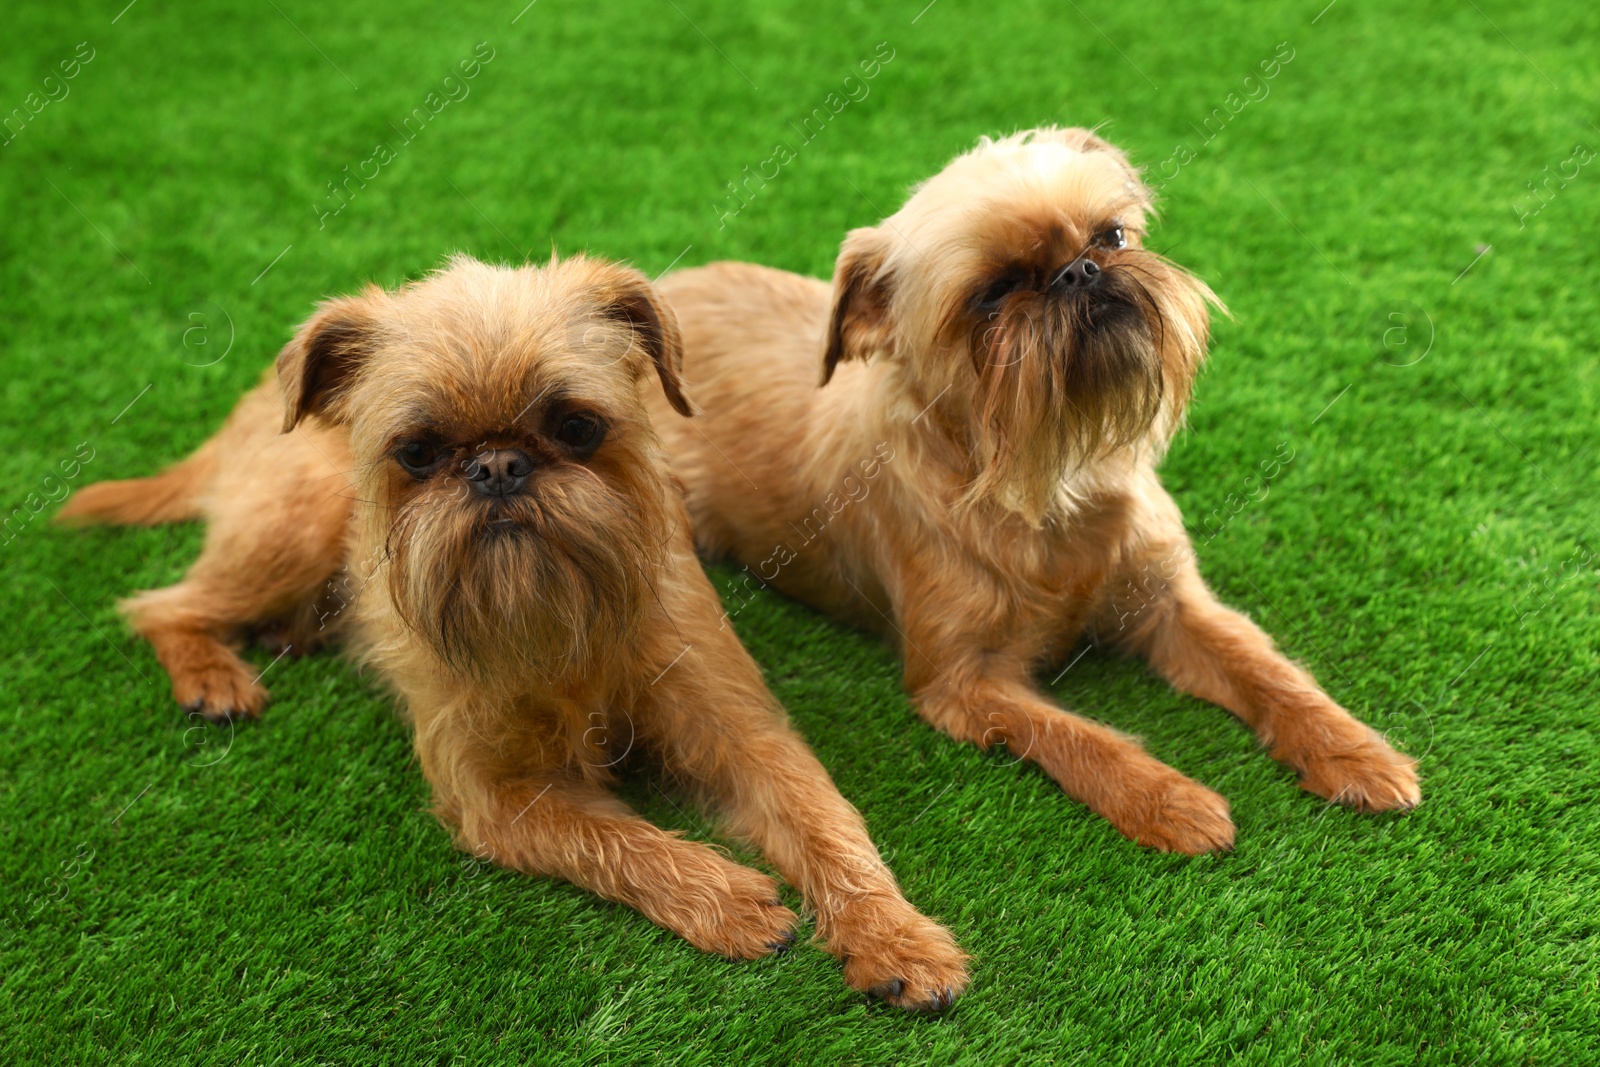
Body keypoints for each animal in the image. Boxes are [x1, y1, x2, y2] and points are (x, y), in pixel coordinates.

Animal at [59, 254, 960, 1004]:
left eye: (576, 427)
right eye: (419, 452)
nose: (496, 465)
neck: (558, 617)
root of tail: (251, 407)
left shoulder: (742, 730)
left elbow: (827, 823)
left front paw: (896, 936)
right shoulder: (493, 796)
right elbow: (608, 833)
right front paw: (726, 896)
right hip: (295, 524)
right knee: (162, 605)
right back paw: (212, 675)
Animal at [643, 127, 1420, 857]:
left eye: (1111, 236)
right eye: (992, 294)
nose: (1080, 271)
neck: (1046, 481)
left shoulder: (1174, 605)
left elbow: (1265, 667)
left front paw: (1352, 748)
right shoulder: (964, 685)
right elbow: (1075, 734)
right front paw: (1168, 799)